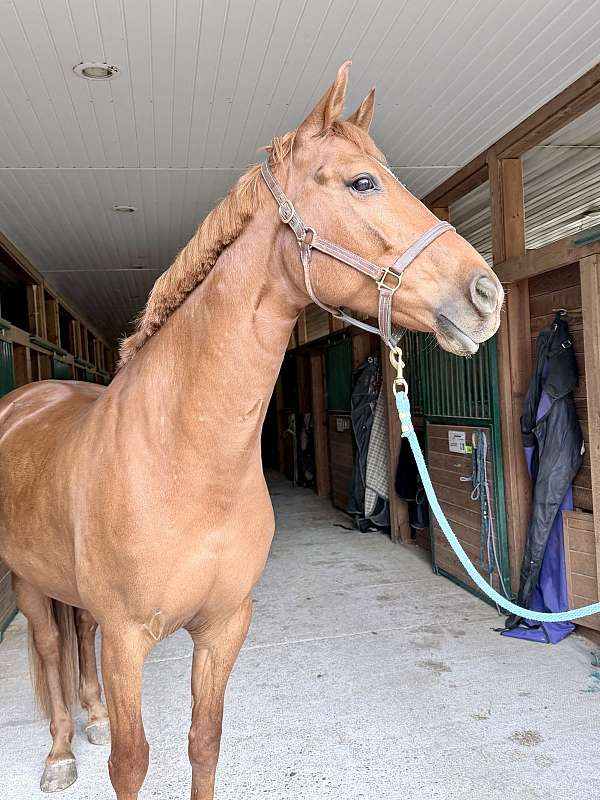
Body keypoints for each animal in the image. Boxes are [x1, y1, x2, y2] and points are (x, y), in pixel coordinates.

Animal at [0, 62, 503, 799]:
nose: (487, 295)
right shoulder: (127, 639)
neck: (185, 462)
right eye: (362, 182)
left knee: (76, 632)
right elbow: (131, 762)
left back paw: (90, 720)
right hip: (29, 582)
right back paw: (62, 751)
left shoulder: (224, 625)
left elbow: (204, 744)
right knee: (47, 643)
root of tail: (27, 400)